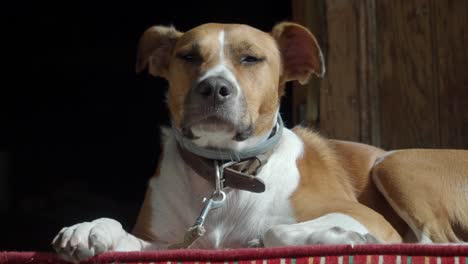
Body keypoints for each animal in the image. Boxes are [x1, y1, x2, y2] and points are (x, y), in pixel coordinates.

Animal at [51, 22, 468, 262]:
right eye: (188, 56)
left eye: (251, 58)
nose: (214, 88)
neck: (225, 170)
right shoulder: (169, 245)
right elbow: (123, 233)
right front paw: (89, 228)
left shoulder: (370, 217)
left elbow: (275, 228)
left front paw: (337, 235)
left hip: (394, 163)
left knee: (438, 243)